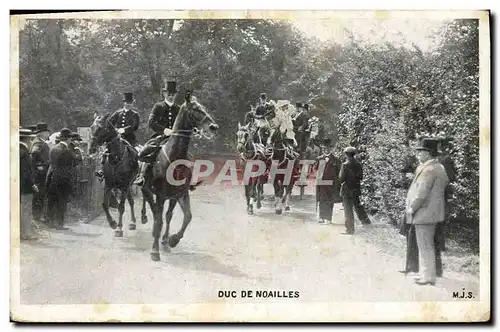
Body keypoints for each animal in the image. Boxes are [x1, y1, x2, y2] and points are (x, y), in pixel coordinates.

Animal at [141, 94, 219, 262]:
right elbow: (159, 220)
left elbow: (185, 216)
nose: (213, 127)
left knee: (164, 215)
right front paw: (155, 251)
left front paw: (171, 240)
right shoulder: (161, 195)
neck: (175, 157)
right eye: (195, 109)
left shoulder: (179, 194)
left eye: (203, 107)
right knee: (154, 211)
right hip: (146, 190)